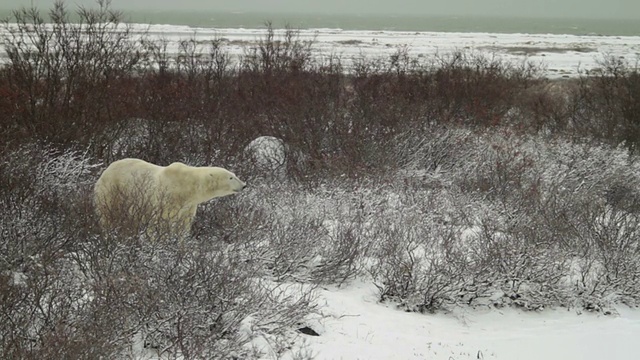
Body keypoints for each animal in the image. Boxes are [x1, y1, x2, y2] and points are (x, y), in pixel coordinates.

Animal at [94, 158, 246, 238]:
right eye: (231, 177)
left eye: (234, 175)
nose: (244, 185)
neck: (187, 186)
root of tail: (106, 170)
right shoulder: (165, 198)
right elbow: (158, 222)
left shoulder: (188, 206)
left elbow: (183, 225)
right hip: (111, 190)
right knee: (107, 214)